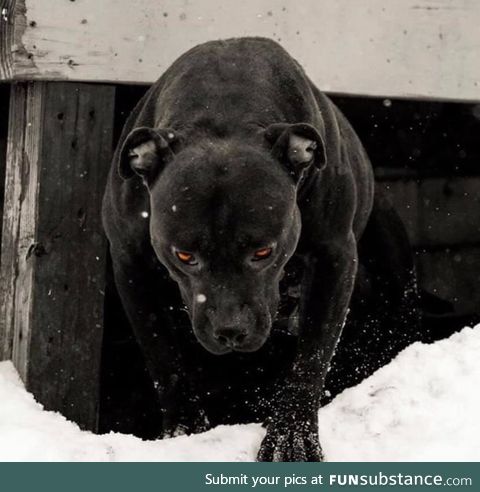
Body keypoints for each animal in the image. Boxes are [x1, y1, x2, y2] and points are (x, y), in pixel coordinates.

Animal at [102, 37, 420, 462]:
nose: (230, 330)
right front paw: (185, 431)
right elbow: (162, 353)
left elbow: (312, 355)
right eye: (184, 256)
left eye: (263, 252)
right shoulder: (130, 264)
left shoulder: (334, 258)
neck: (224, 112)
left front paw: (292, 438)